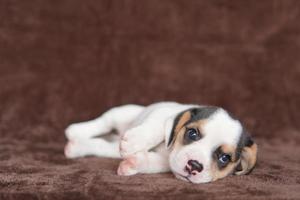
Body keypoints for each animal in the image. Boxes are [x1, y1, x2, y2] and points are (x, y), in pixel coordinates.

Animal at [65, 102, 258, 184]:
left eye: (224, 158)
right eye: (192, 133)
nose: (194, 166)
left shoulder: (165, 162)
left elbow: (150, 162)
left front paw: (133, 163)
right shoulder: (164, 113)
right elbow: (156, 128)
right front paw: (136, 141)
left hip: (110, 147)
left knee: (99, 144)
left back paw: (75, 147)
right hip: (121, 113)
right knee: (103, 122)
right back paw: (75, 130)